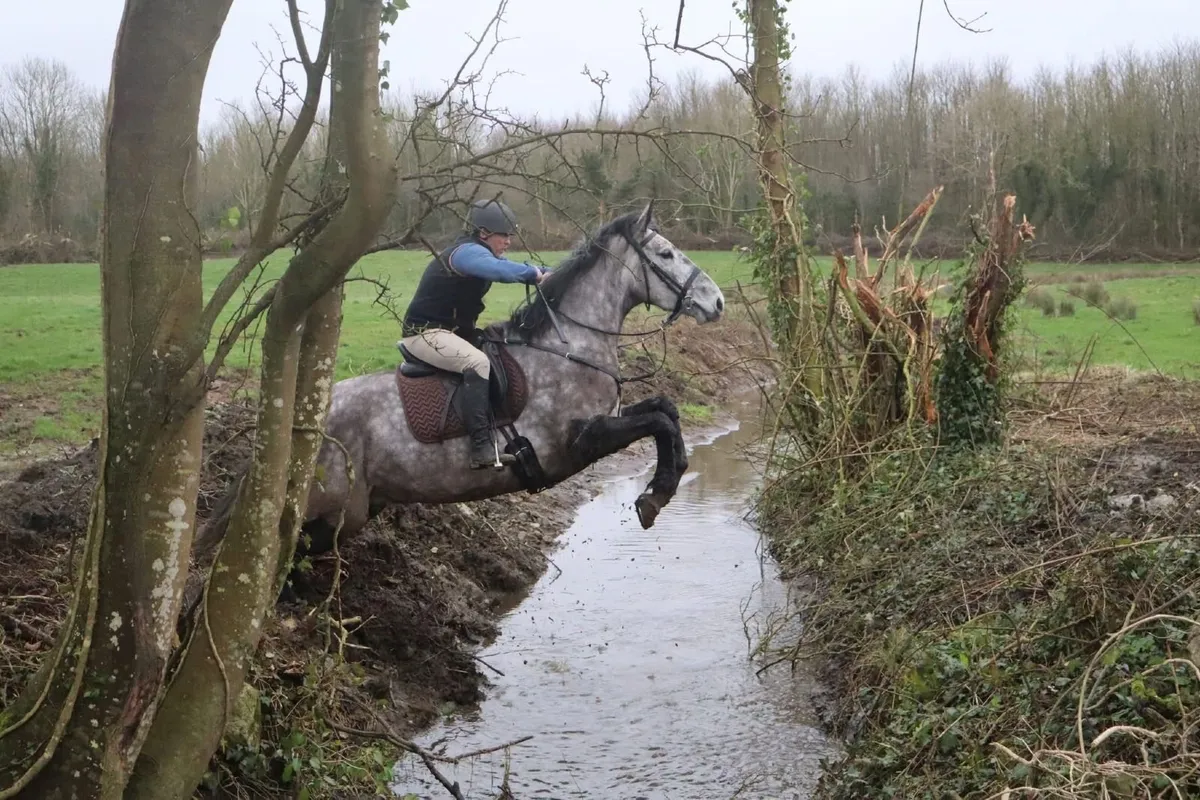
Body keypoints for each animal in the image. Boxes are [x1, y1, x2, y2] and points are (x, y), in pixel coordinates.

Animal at [299, 202, 726, 549]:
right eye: (666, 253)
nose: (717, 301)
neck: (568, 344)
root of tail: (302, 423)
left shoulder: (612, 417)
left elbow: (665, 410)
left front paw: (665, 484)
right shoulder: (581, 440)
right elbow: (659, 422)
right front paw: (655, 496)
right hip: (331, 515)